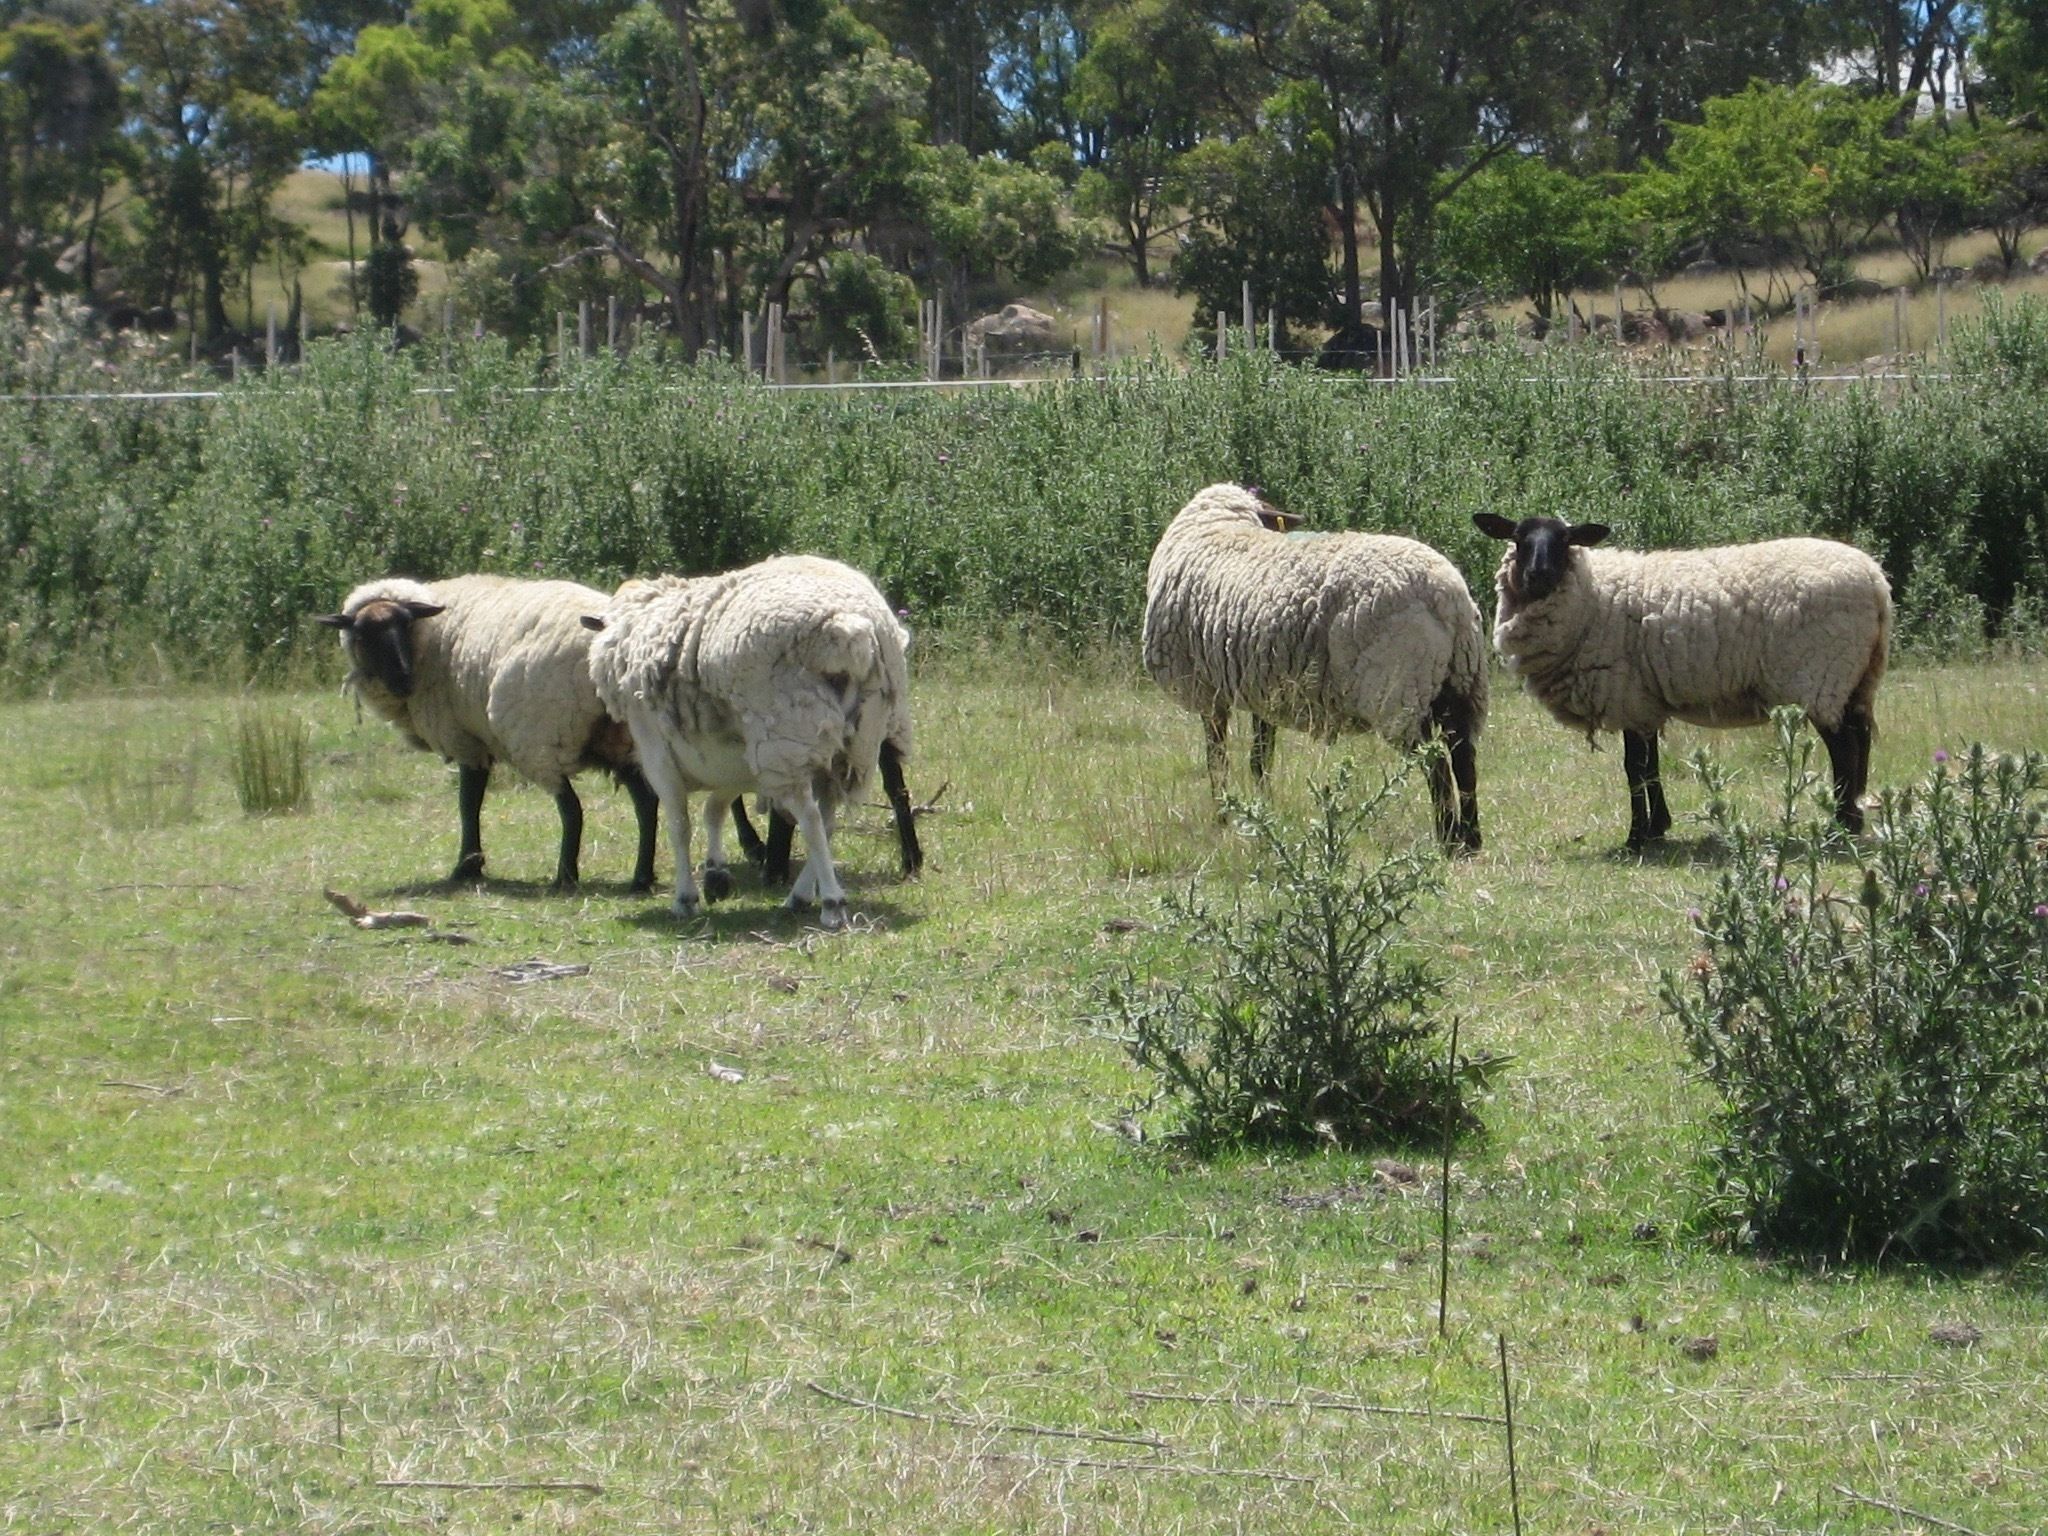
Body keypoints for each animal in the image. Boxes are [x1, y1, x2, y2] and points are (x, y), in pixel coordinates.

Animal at [315, 577, 659, 888]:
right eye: (364, 634)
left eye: (405, 625)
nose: (403, 680)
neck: (428, 641)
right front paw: (471, 864)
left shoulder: (463, 738)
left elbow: (469, 802)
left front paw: (467, 867)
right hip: (625, 740)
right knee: (647, 802)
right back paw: (641, 878)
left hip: (540, 738)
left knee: (572, 809)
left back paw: (566, 877)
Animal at [585, 561, 921, 933]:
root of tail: (856, 629)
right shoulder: (738, 760)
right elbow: (714, 809)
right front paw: (716, 874)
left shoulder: (658, 753)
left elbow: (680, 825)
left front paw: (685, 898)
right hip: (854, 738)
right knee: (828, 816)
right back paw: (800, 896)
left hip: (786, 738)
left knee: (811, 817)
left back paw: (831, 903)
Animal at [1138, 483, 1490, 856]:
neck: (1220, 526)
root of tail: (1449, 599)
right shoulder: (1264, 686)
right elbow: (1260, 760)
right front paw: (1263, 813)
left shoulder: (1207, 689)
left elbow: (1217, 760)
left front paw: (1223, 817)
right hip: (1460, 682)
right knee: (1464, 758)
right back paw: (1470, 840)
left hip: (1396, 688)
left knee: (1434, 764)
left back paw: (1447, 840)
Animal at [1474, 518, 1884, 856]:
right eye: (1519, 538)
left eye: (1564, 539)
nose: (1538, 574)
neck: (1592, 598)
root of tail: (1876, 580)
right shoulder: (1644, 701)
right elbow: (1650, 766)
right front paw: (1658, 827)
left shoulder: (1627, 695)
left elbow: (1634, 768)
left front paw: (1637, 837)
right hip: (1856, 679)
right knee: (1861, 737)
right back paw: (1855, 815)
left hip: (1820, 675)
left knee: (1844, 747)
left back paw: (1841, 825)